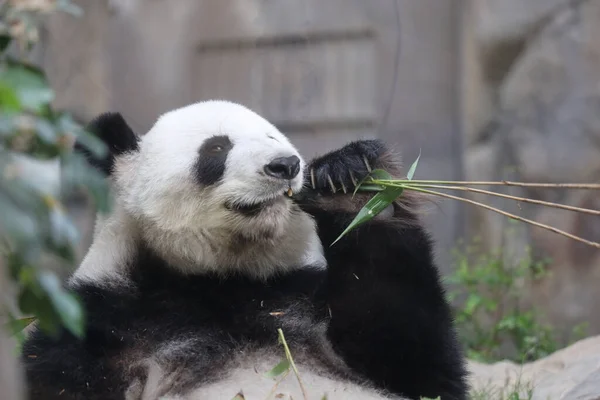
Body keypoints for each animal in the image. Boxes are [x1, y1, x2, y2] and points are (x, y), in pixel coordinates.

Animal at [19, 100, 468, 400]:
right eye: (217, 149)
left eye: (273, 137)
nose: (285, 165)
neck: (218, 276)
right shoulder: (94, 327)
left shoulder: (300, 295)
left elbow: (418, 365)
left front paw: (354, 188)